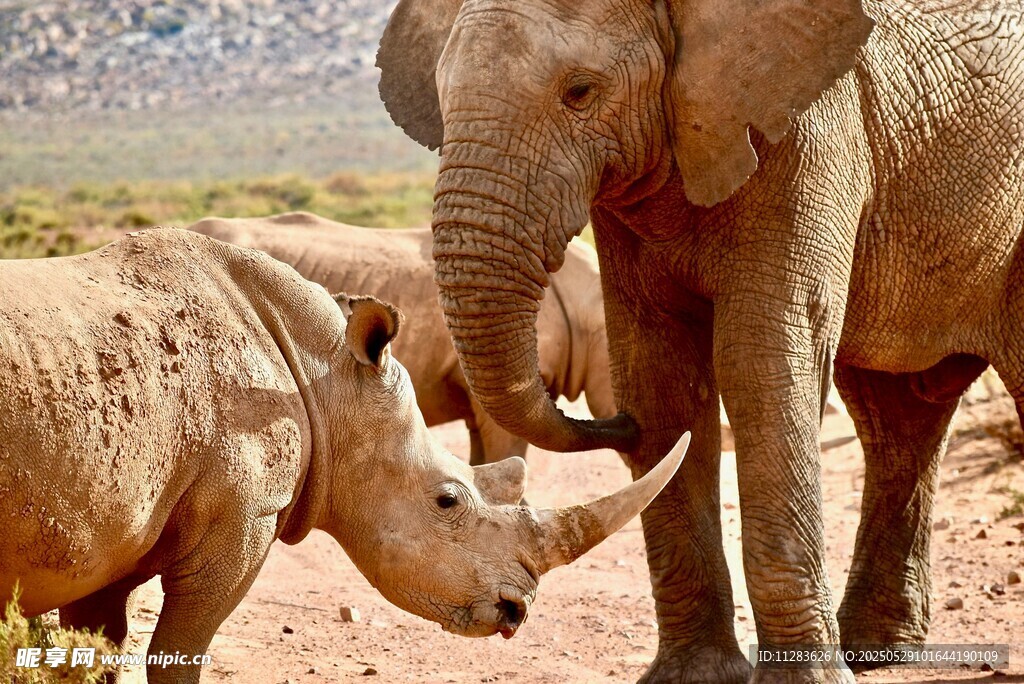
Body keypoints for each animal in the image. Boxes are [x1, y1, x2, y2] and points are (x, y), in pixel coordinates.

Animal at [375, 0, 1024, 681]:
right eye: (442, 99)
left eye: (580, 93)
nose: (618, 427)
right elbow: (659, 374)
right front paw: (693, 675)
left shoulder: (809, 137)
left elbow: (759, 362)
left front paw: (804, 680)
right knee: (896, 417)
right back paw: (878, 654)